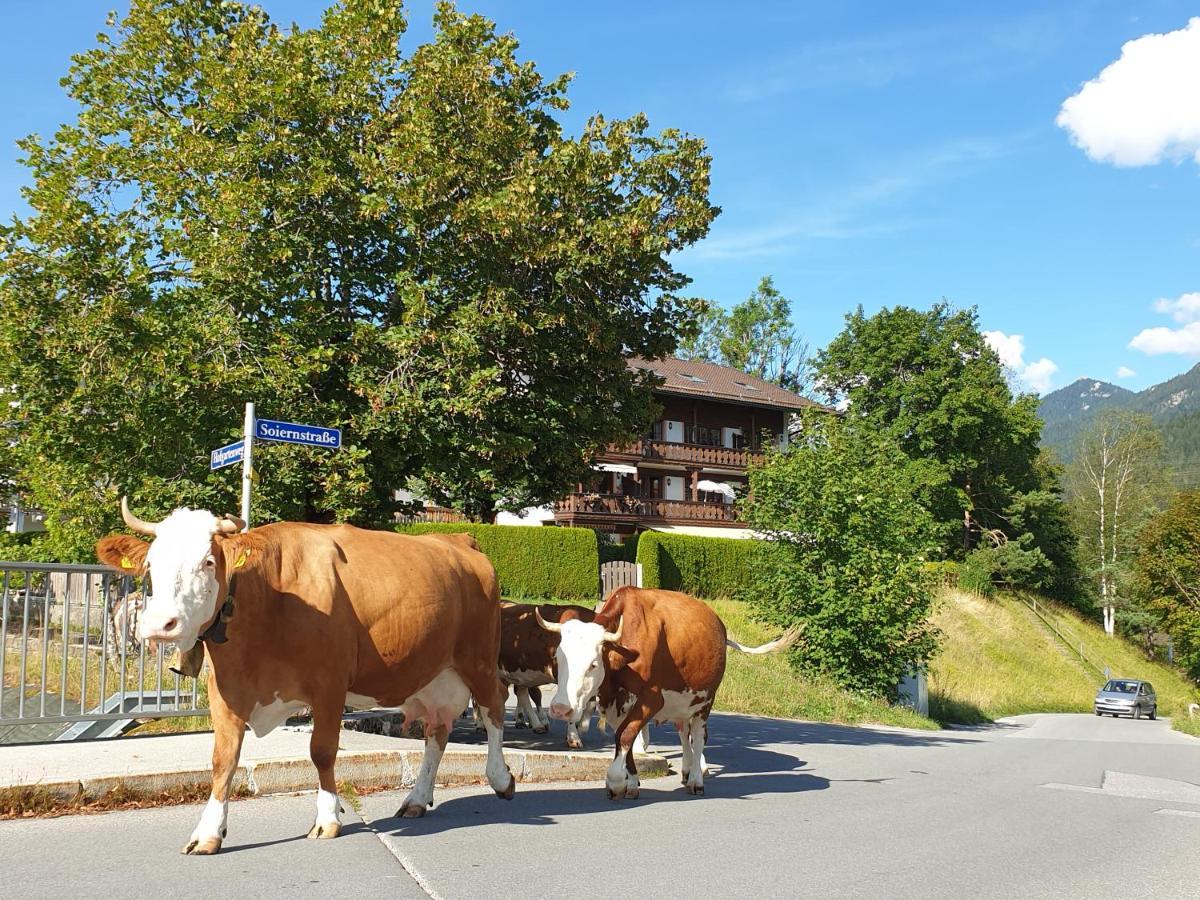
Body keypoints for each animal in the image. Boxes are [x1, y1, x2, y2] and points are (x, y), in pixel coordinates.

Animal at [98, 504, 516, 854]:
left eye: (207, 561)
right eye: (151, 565)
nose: (160, 624)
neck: (269, 599)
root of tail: (458, 539)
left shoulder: (329, 684)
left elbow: (322, 751)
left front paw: (328, 817)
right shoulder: (226, 690)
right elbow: (222, 759)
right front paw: (208, 832)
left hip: (478, 657)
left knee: (493, 707)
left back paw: (500, 778)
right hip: (433, 674)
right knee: (437, 731)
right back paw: (416, 798)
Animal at [540, 588, 801, 801]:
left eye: (593, 664)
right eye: (558, 658)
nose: (560, 709)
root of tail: (718, 622)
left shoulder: (652, 698)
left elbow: (625, 736)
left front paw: (615, 781)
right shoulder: (617, 703)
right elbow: (626, 736)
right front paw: (632, 782)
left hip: (705, 700)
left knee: (698, 736)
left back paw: (696, 779)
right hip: (682, 703)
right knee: (684, 733)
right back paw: (686, 770)